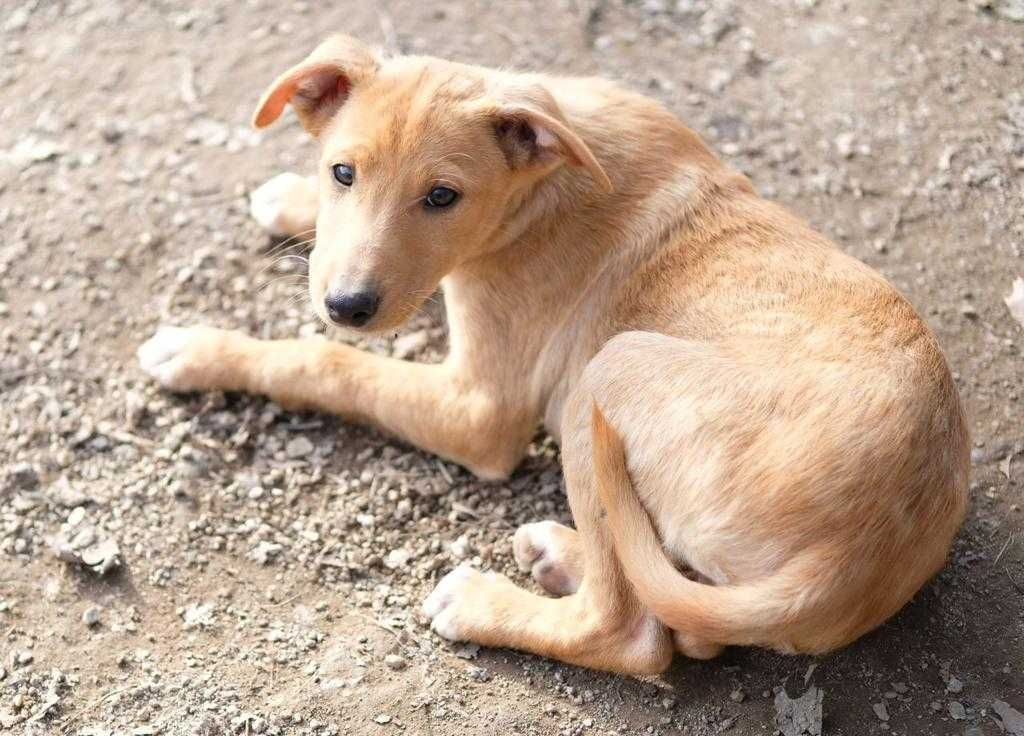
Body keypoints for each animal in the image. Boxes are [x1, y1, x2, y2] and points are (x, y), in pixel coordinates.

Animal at [136, 37, 966, 675]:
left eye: (442, 197)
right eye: (343, 171)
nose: (348, 306)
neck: (545, 178)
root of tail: (850, 558)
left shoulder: (479, 409)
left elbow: (326, 363)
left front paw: (204, 349)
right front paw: (290, 200)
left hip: (605, 376)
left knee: (633, 633)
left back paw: (484, 601)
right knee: (682, 616)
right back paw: (559, 553)